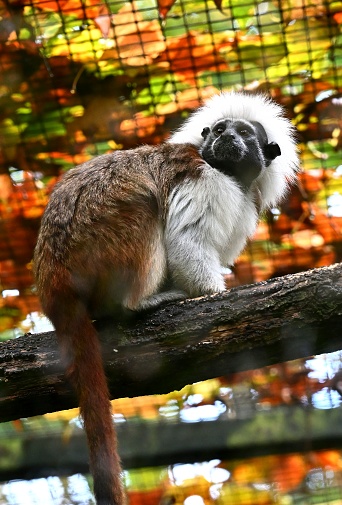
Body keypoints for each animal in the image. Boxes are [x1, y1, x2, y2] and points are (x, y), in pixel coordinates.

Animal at [33, 91, 298, 504]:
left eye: (243, 134)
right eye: (219, 130)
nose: (226, 138)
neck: (229, 175)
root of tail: (52, 280)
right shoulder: (203, 180)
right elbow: (186, 244)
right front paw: (211, 293)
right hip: (98, 251)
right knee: (143, 206)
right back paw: (138, 302)